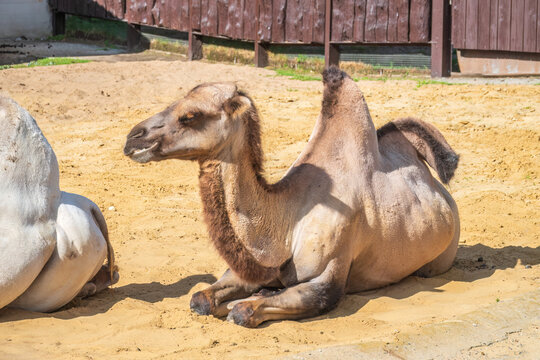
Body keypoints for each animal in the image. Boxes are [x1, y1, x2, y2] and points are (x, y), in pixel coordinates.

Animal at [123, 66, 460, 328]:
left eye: (190, 115)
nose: (133, 138)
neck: (286, 220)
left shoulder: (328, 276)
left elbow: (244, 311)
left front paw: (252, 300)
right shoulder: (255, 266)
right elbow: (200, 298)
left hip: (440, 259)